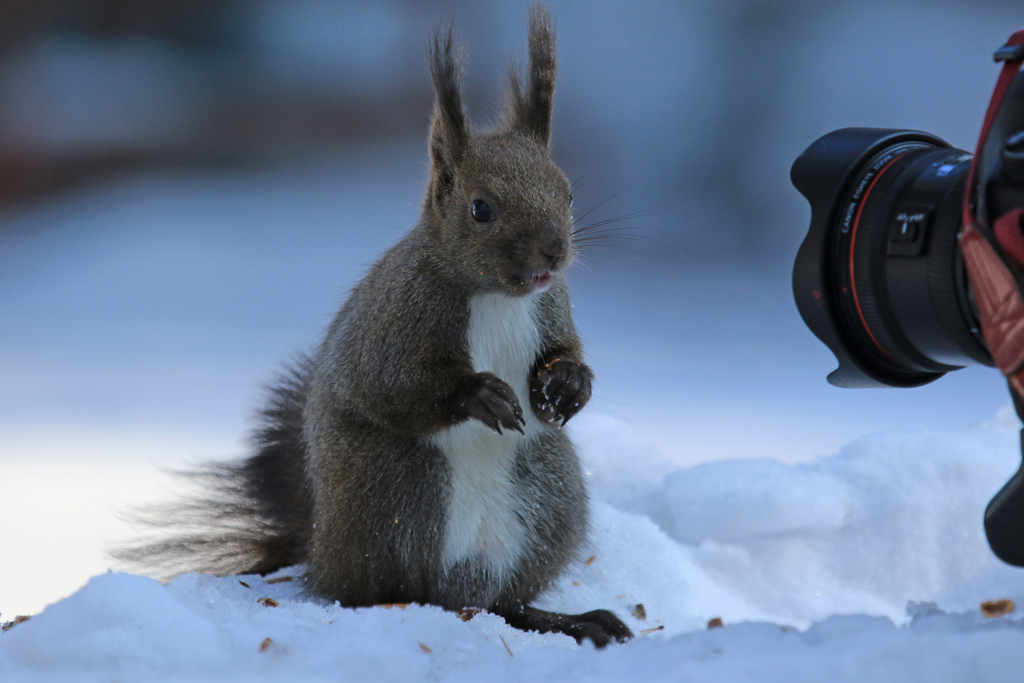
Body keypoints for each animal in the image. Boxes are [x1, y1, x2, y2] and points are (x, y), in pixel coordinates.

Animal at [117, 5, 630, 651]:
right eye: (480, 208)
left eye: (567, 192)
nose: (555, 251)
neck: (495, 296)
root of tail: (320, 548)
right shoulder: (396, 319)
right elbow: (390, 385)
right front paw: (480, 394)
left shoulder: (552, 305)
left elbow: (567, 349)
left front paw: (569, 384)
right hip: (393, 494)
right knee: (387, 589)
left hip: (552, 497)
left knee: (508, 602)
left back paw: (570, 620)